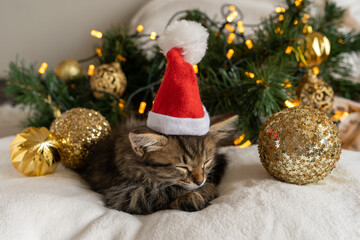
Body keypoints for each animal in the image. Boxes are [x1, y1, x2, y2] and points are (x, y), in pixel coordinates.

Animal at [77, 113, 238, 215]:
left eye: (206, 161)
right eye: (182, 167)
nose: (200, 181)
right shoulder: (123, 195)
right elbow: (167, 189)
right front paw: (201, 193)